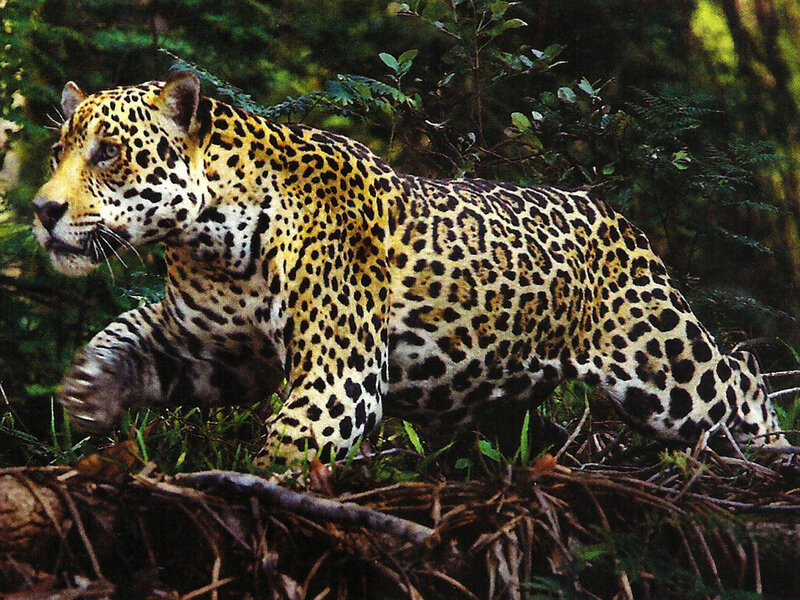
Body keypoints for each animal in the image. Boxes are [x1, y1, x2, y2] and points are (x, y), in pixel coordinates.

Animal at [31, 72, 786, 466]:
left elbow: (289, 450)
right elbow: (124, 333)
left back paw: (776, 455)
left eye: (106, 153)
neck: (211, 241)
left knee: (739, 377)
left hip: (663, 370)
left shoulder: (339, 379)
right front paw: (85, 392)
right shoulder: (210, 347)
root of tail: (619, 217)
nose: (41, 209)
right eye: (59, 151)